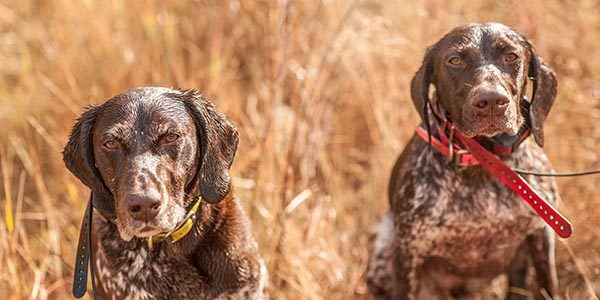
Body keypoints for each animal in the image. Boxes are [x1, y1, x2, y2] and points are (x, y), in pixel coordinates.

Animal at [366, 23, 564, 300]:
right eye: (455, 60)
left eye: (511, 56)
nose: (491, 101)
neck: (482, 161)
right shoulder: (408, 253)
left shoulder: (541, 234)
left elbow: (548, 285)